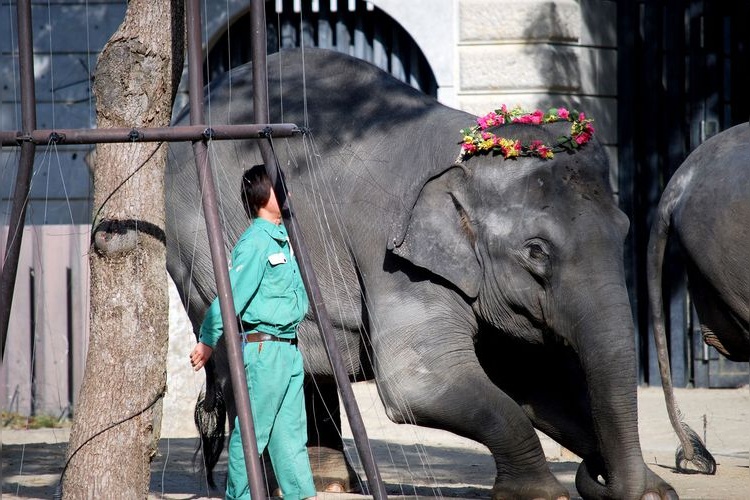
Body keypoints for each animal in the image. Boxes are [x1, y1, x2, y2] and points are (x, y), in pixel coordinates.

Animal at [167, 47, 680, 500]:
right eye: (536, 252)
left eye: (624, 228)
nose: (599, 475)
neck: (464, 150)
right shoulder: (394, 259)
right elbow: (417, 382)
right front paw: (540, 494)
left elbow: (535, 383)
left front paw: (656, 492)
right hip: (201, 256)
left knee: (309, 361)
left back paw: (331, 484)